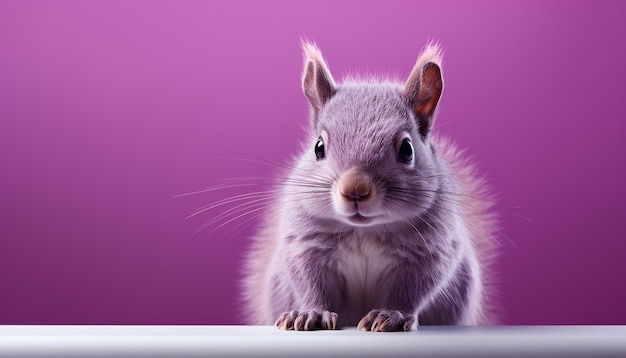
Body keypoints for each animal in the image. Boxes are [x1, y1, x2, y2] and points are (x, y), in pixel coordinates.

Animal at [241, 41, 494, 330]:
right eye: (318, 147)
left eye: (407, 150)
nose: (355, 189)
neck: (365, 230)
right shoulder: (306, 243)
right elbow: (311, 283)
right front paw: (310, 313)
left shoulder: (431, 249)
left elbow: (412, 288)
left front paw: (391, 315)